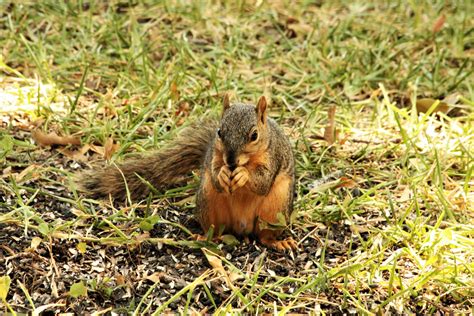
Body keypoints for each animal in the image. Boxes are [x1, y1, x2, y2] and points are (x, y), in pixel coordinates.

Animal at [80, 95, 298, 251]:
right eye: (219, 132)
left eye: (254, 135)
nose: (230, 161)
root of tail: (241, 228)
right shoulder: (214, 157)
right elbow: (216, 174)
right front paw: (222, 174)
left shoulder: (274, 156)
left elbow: (263, 181)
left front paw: (243, 175)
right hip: (209, 201)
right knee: (216, 230)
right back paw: (206, 237)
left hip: (275, 209)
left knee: (264, 236)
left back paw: (278, 242)